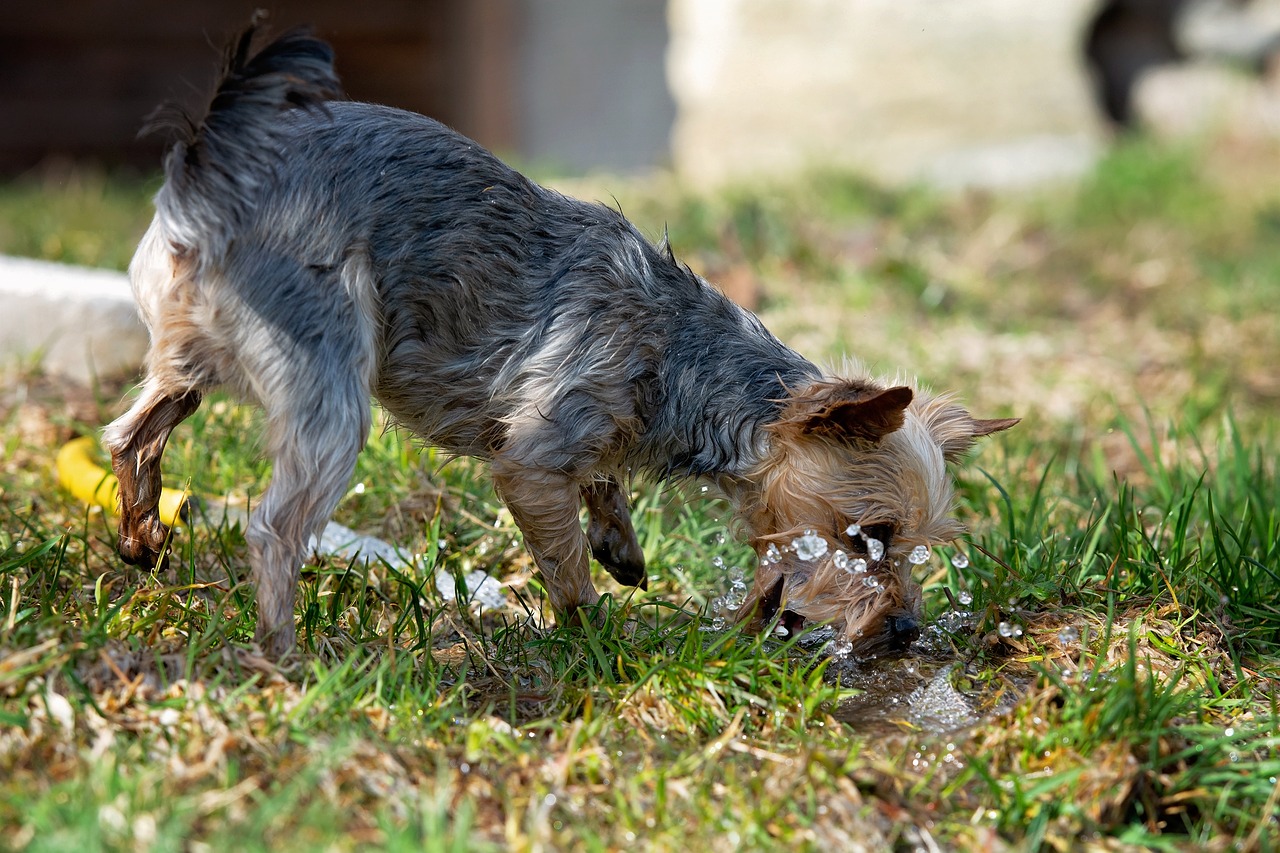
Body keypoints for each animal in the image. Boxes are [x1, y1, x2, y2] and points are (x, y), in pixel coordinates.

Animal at [104, 21, 1013, 655]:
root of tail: (212, 169)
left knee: (132, 431)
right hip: (327, 380)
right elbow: (564, 562)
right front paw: (595, 634)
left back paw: (143, 537)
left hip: (192, 356)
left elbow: (601, 487)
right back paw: (284, 652)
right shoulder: (531, 461)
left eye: (914, 544)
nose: (905, 631)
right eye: (873, 534)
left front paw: (623, 547)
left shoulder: (589, 435)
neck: (681, 354)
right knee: (273, 527)